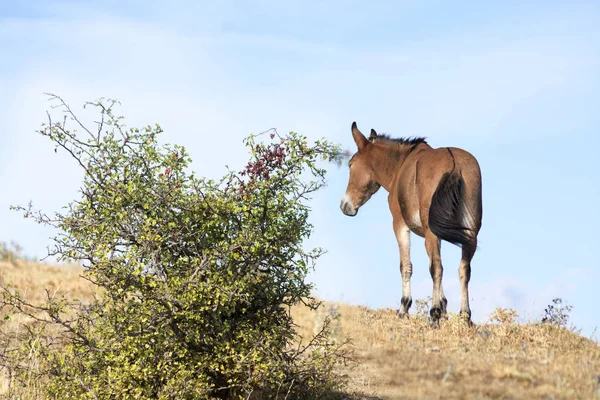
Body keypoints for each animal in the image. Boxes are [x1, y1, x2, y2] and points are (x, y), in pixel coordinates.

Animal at [340, 122, 486, 324]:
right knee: (463, 269)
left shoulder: (400, 226)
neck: (401, 166)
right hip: (470, 233)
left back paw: (433, 314)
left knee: (437, 267)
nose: (344, 205)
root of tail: (454, 163)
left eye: (350, 164)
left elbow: (406, 266)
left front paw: (404, 308)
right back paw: (465, 316)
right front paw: (444, 309)